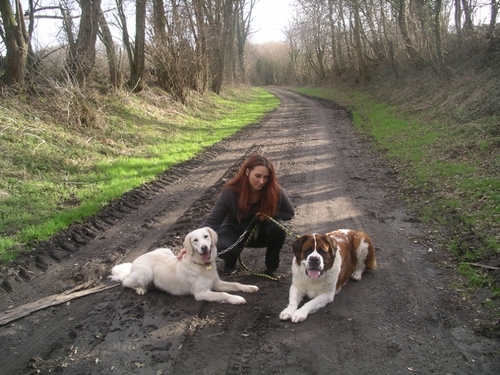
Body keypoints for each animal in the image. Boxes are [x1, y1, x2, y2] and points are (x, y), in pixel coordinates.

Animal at [109, 228, 258, 304]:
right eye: (195, 240)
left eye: (206, 236)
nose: (204, 248)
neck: (201, 264)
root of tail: (136, 260)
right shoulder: (201, 293)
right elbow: (223, 294)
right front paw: (237, 298)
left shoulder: (216, 282)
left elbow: (235, 284)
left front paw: (249, 287)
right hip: (146, 272)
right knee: (126, 282)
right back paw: (140, 289)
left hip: (165, 250)